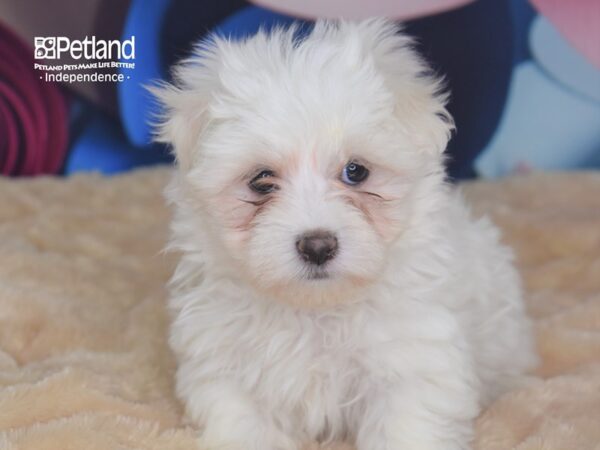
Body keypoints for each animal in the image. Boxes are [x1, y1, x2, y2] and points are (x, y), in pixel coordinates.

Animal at [152, 18, 536, 450]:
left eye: (356, 171)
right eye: (261, 181)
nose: (317, 246)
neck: (316, 310)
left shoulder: (412, 362)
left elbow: (407, 425)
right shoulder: (226, 366)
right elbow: (243, 421)